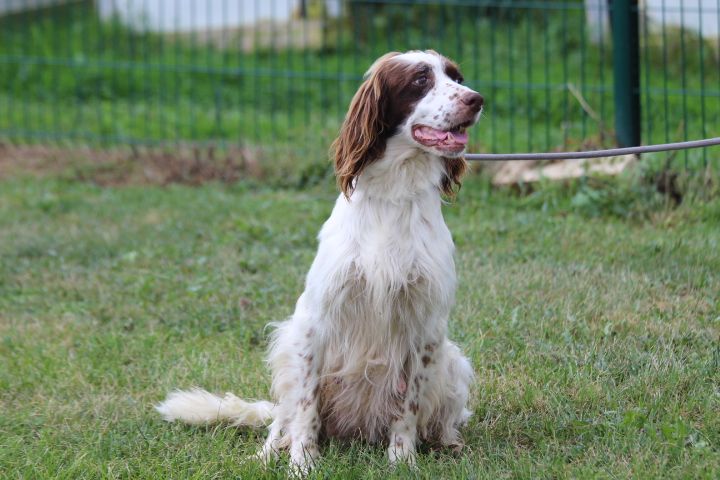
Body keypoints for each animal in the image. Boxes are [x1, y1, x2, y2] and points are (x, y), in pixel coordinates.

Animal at [158, 49, 484, 472]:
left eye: (456, 78)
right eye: (419, 80)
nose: (476, 99)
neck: (394, 195)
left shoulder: (425, 325)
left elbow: (408, 407)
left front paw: (402, 460)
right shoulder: (315, 322)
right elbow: (305, 408)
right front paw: (302, 462)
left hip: (452, 361)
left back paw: (449, 443)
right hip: (287, 345)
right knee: (282, 417)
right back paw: (269, 452)